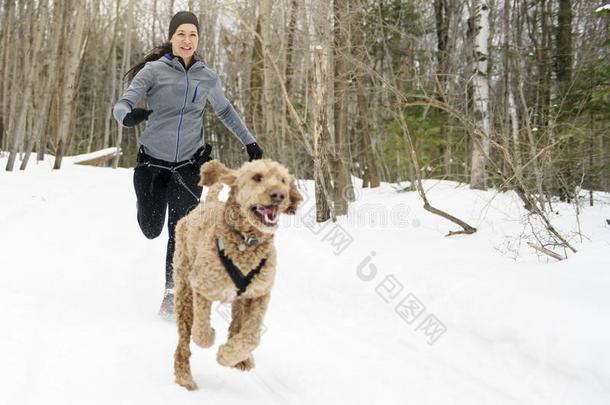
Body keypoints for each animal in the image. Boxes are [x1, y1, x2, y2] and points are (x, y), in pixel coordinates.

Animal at [171, 157, 302, 388]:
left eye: (283, 181)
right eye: (257, 177)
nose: (279, 195)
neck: (246, 240)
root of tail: (204, 205)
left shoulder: (260, 293)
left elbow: (252, 336)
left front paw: (228, 356)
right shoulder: (203, 287)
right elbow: (201, 330)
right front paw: (210, 338)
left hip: (240, 299)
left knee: (237, 325)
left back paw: (242, 360)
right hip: (184, 289)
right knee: (184, 337)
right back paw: (184, 376)